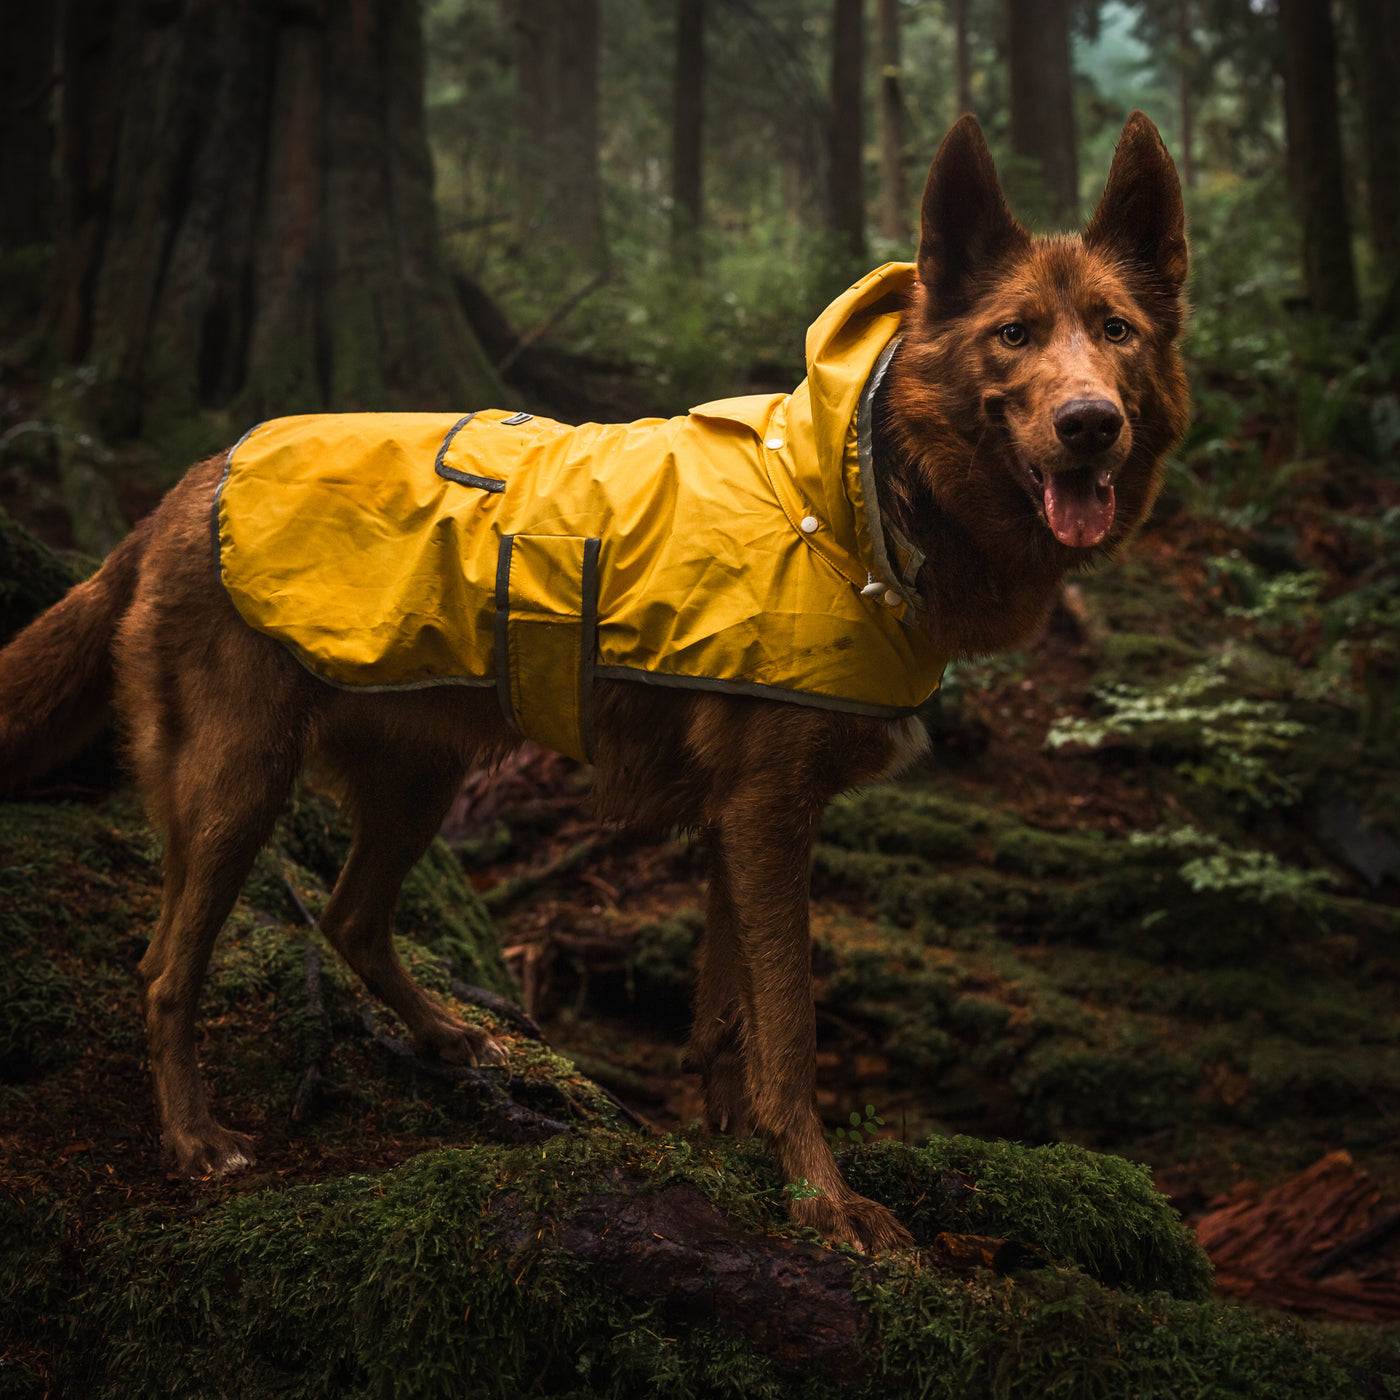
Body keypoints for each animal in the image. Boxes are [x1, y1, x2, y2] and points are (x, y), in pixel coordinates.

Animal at [0, 109, 1192, 1248]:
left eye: (1116, 332)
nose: (1092, 425)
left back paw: (444, 1034)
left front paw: (739, 1151)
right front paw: (822, 1199)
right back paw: (196, 1138)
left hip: (418, 775)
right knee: (165, 966)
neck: (856, 487)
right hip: (237, 782)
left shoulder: (734, 820)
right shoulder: (767, 813)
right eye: (1012, 334)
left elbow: (726, 1019)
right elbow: (789, 1024)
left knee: (348, 920)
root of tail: (182, 489)